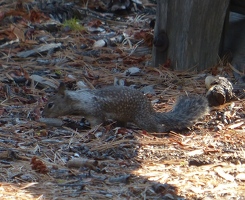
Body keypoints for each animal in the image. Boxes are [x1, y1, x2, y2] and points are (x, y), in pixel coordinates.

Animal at [42, 83, 209, 133]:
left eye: (50, 104)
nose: (42, 114)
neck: (79, 99)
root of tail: (151, 111)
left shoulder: (95, 112)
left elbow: (97, 122)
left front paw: (89, 131)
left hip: (142, 119)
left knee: (156, 126)